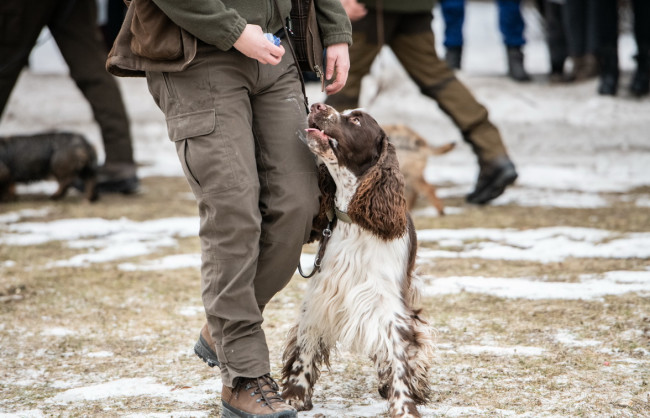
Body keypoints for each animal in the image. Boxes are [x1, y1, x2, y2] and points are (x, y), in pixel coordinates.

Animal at [280, 102, 432, 418]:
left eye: (357, 120)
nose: (317, 105)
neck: (355, 220)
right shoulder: (321, 294)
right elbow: (304, 348)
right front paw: (293, 397)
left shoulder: (389, 304)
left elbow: (399, 355)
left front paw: (403, 406)